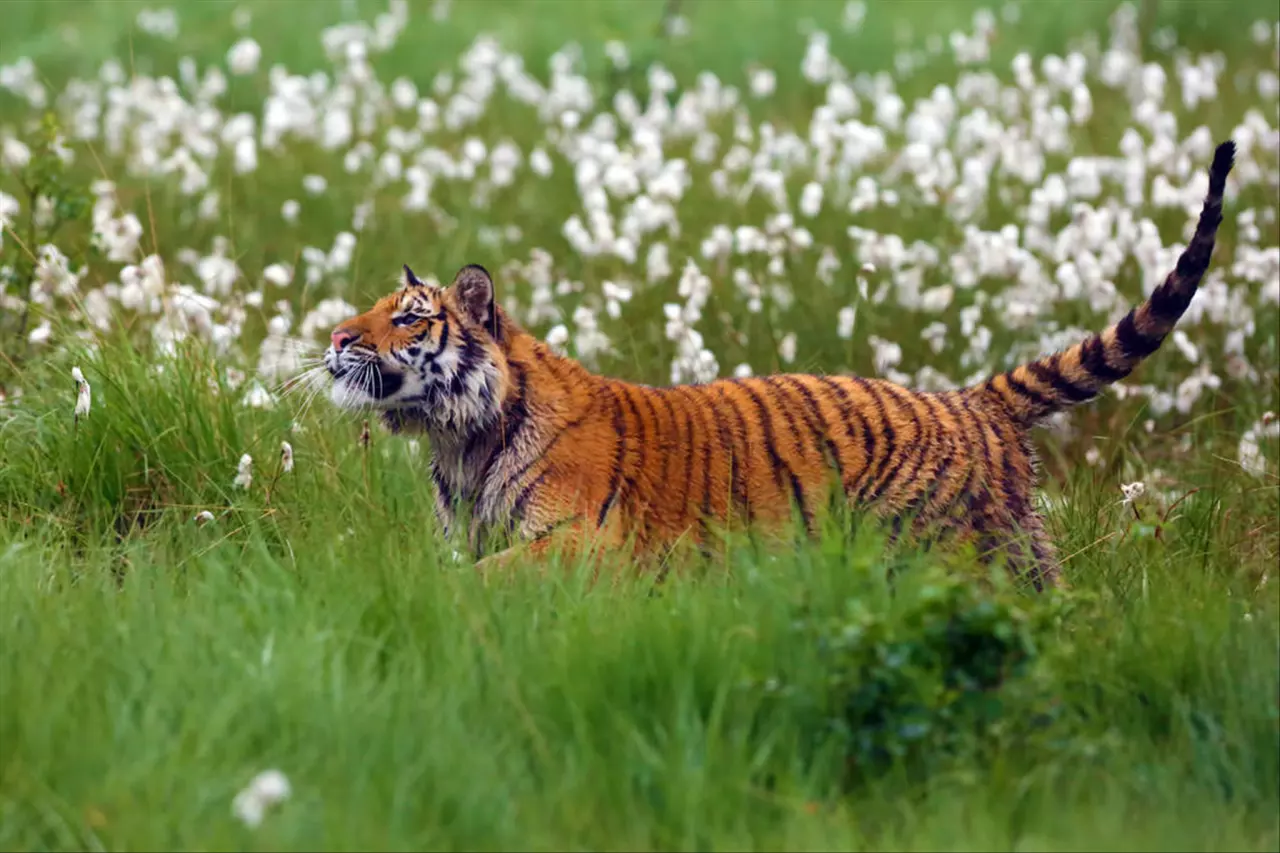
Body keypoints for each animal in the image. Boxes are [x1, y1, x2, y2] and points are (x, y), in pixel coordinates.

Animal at [325, 140, 1233, 591]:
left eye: (407, 316)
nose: (334, 337)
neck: (459, 440)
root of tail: (971, 401)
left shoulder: (586, 542)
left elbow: (484, 585)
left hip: (946, 546)